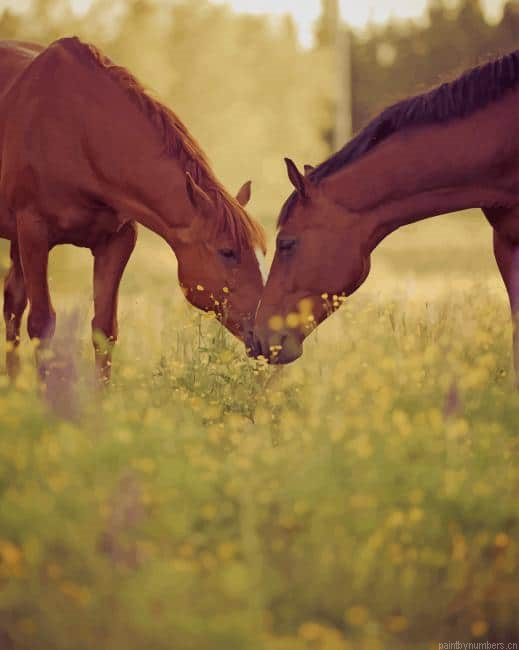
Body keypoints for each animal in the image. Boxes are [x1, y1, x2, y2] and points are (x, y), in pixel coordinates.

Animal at [0, 38, 266, 382]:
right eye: (227, 252)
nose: (272, 333)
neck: (79, 134)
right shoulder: (34, 233)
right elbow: (42, 324)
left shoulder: (118, 240)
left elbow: (104, 330)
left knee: (12, 302)